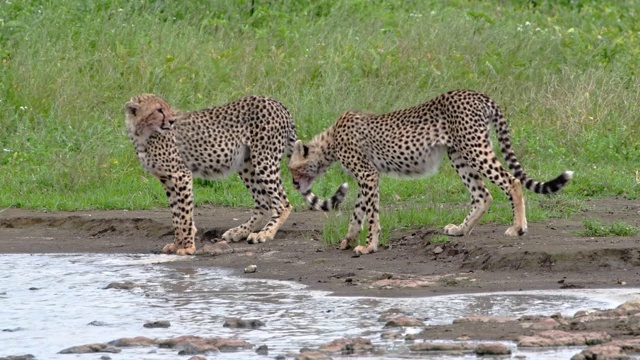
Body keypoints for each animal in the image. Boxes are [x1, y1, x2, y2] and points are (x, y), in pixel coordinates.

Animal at [124, 94, 344, 255]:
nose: (170, 120)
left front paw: (187, 247)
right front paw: (178, 243)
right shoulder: (167, 179)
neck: (143, 134)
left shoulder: (181, 175)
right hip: (246, 163)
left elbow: (184, 215)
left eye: (166, 108)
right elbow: (177, 215)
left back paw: (265, 233)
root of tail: (276, 102)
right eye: (158, 110)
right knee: (263, 202)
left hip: (264, 159)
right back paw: (241, 231)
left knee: (282, 202)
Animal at [288, 90, 572, 256]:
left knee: (511, 181)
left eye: (291, 167)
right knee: (482, 194)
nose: (293, 184)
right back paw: (460, 229)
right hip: (458, 154)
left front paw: (368, 245)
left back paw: (517, 227)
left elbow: (371, 214)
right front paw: (348, 239)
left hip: (473, 147)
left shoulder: (368, 174)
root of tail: (477, 93)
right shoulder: (367, 176)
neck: (330, 141)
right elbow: (359, 211)